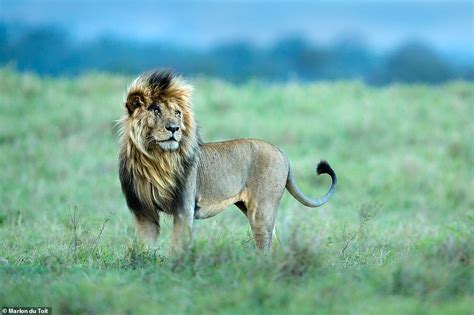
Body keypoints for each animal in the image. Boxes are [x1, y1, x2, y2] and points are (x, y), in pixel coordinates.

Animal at [120, 69, 338, 254]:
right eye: (155, 110)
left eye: (177, 113)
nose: (174, 128)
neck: (156, 159)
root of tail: (282, 154)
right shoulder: (143, 212)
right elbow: (145, 246)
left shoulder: (184, 209)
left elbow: (176, 246)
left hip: (262, 210)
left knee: (265, 245)